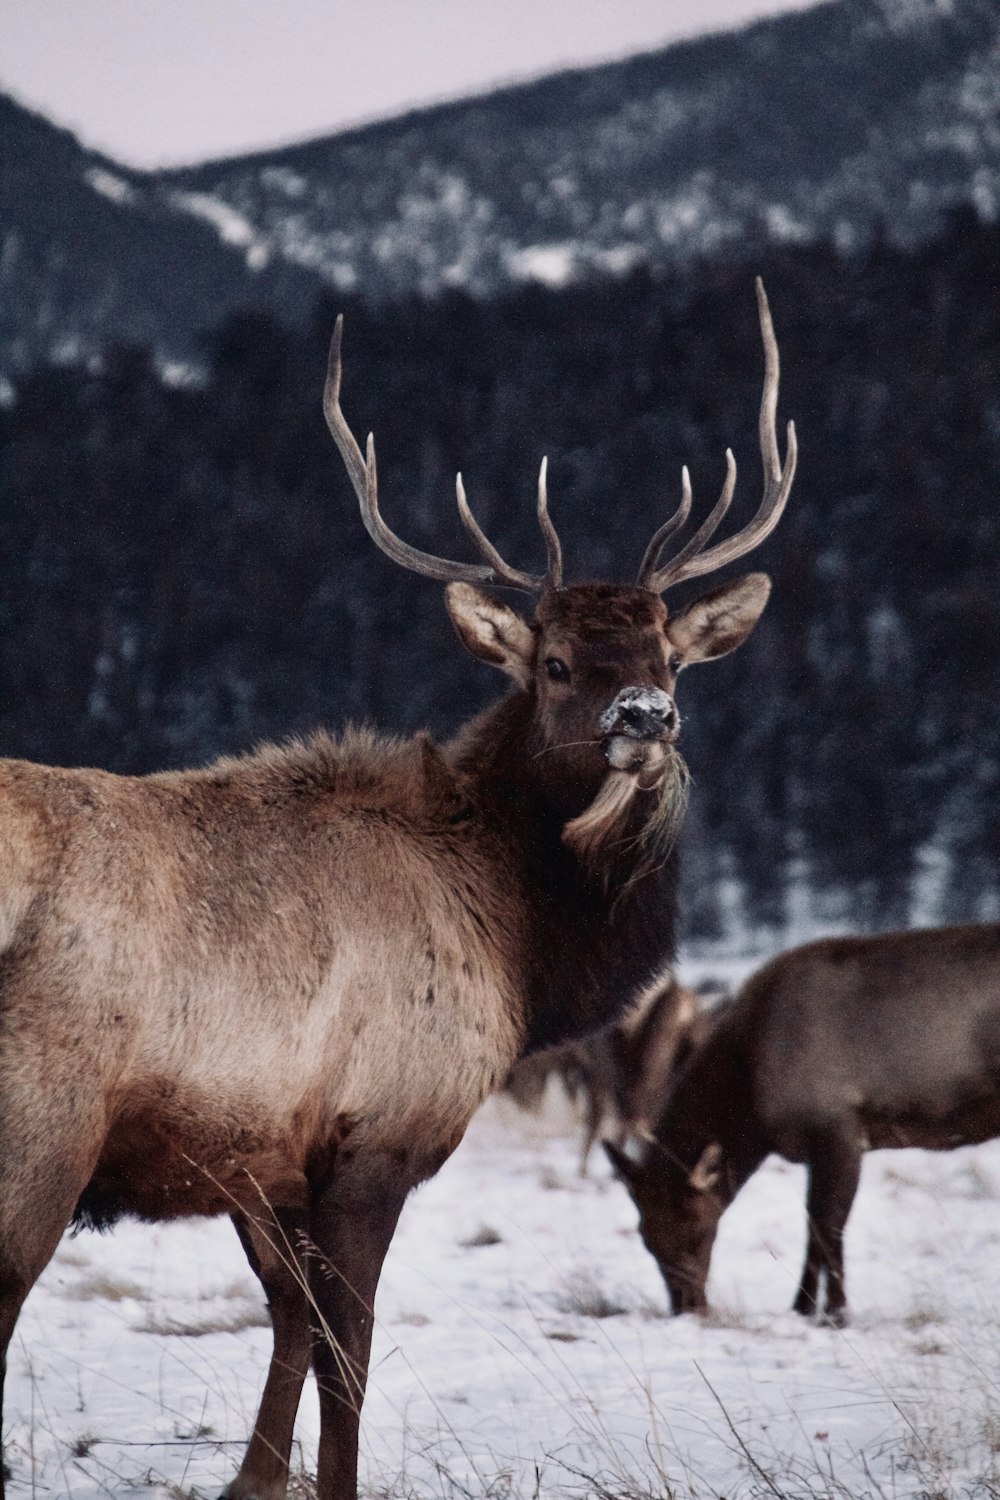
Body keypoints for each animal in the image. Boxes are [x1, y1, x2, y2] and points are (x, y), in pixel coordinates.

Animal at [0, 276, 797, 1494]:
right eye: (554, 663)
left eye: (671, 657)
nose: (645, 719)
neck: (518, 944)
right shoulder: (376, 1133)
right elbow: (346, 1346)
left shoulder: (265, 1155)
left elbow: (287, 1322)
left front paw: (251, 1479)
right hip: (41, 1120)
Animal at [605, 924, 1000, 1326]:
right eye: (646, 1237)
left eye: (698, 1228)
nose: (688, 1307)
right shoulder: (816, 1148)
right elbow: (813, 1227)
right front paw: (803, 1306)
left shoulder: (841, 1131)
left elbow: (829, 1226)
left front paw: (836, 1311)